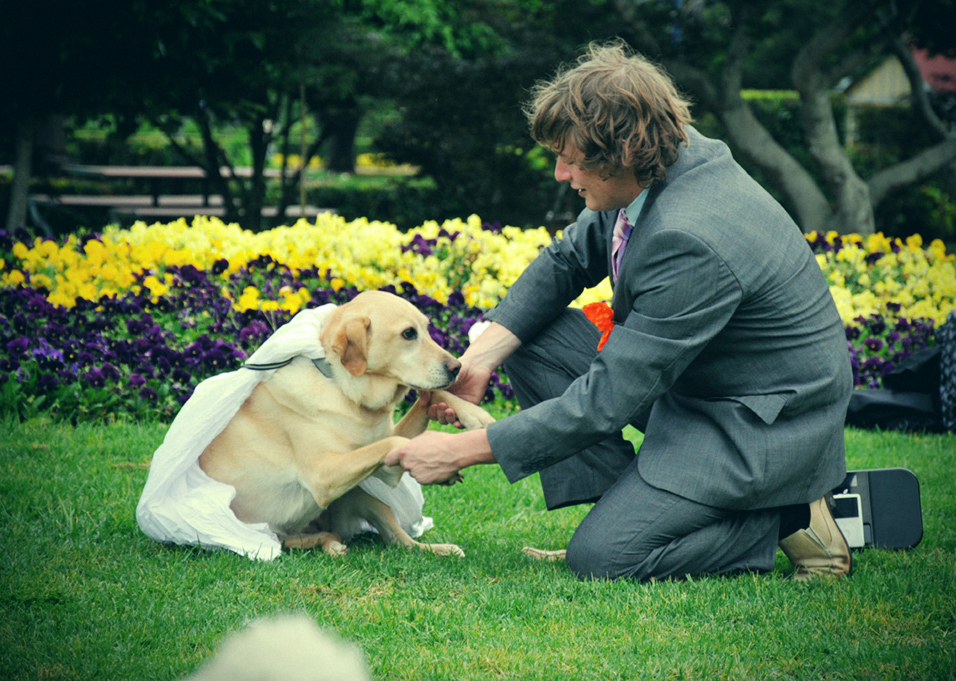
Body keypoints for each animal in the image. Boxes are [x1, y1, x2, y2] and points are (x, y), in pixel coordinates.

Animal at [197, 290, 490, 556]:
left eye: (427, 330)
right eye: (408, 333)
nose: (457, 367)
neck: (345, 390)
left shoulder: (386, 469)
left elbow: (429, 397)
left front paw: (475, 414)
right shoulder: (324, 475)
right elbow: (394, 440)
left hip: (360, 495)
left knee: (399, 541)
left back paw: (437, 548)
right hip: (281, 528)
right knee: (298, 541)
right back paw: (330, 544)